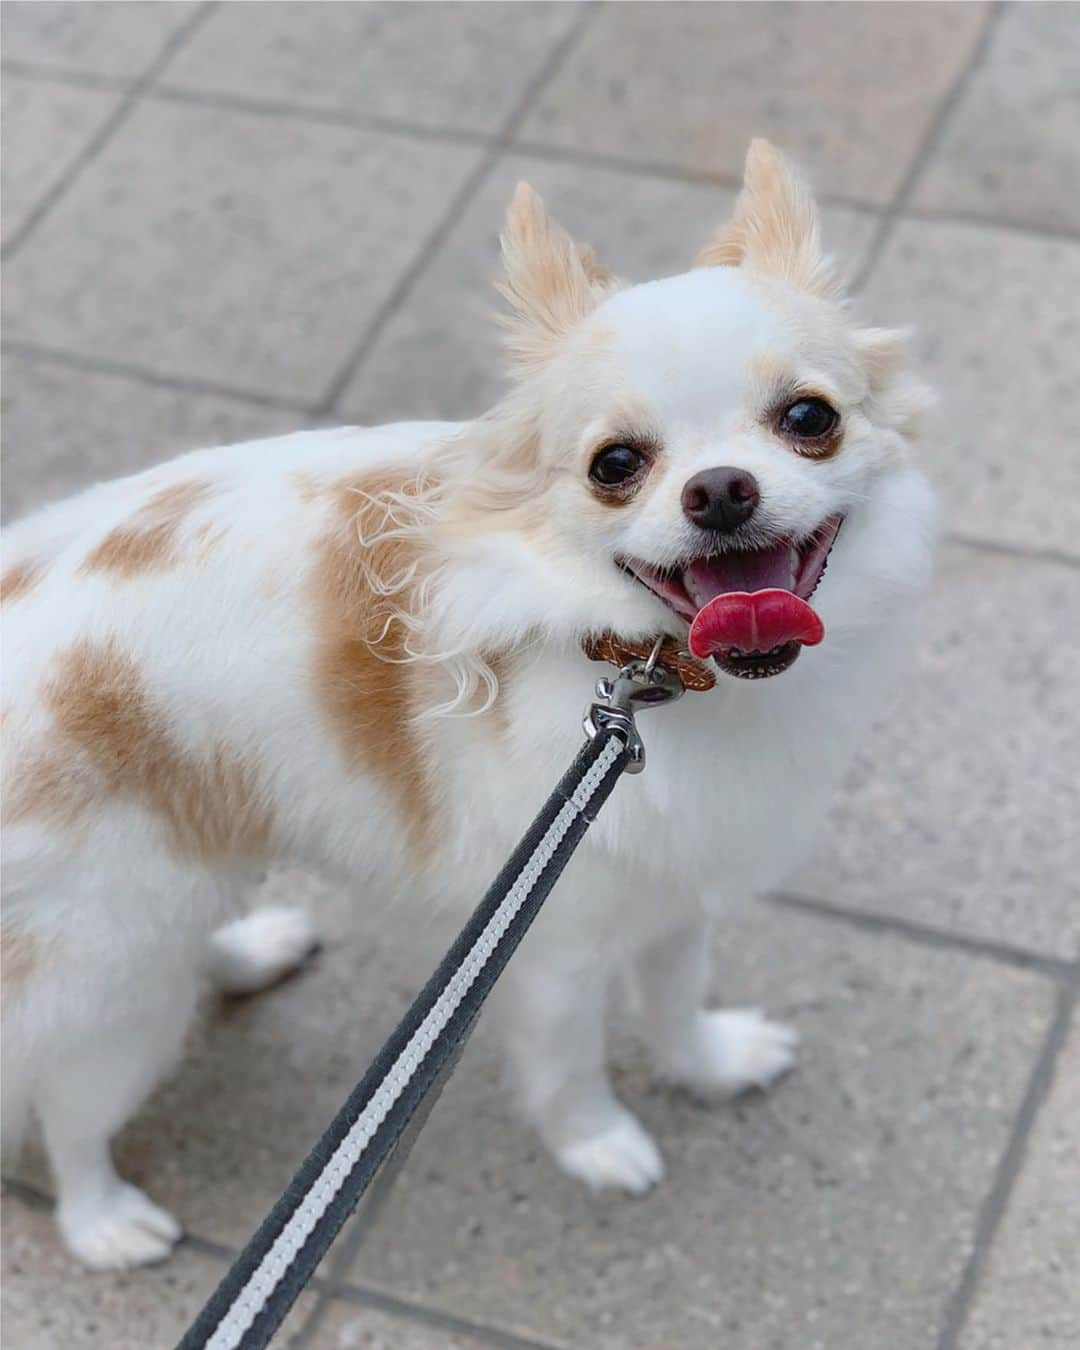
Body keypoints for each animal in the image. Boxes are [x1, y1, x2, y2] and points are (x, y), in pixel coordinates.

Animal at [0, 142, 934, 1269]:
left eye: (809, 420)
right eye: (615, 466)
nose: (719, 489)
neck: (651, 673)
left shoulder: (674, 889)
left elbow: (675, 1000)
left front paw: (709, 1065)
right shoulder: (555, 936)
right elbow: (572, 1063)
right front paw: (600, 1144)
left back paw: (246, 953)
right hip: (107, 973)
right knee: (67, 1104)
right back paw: (102, 1220)